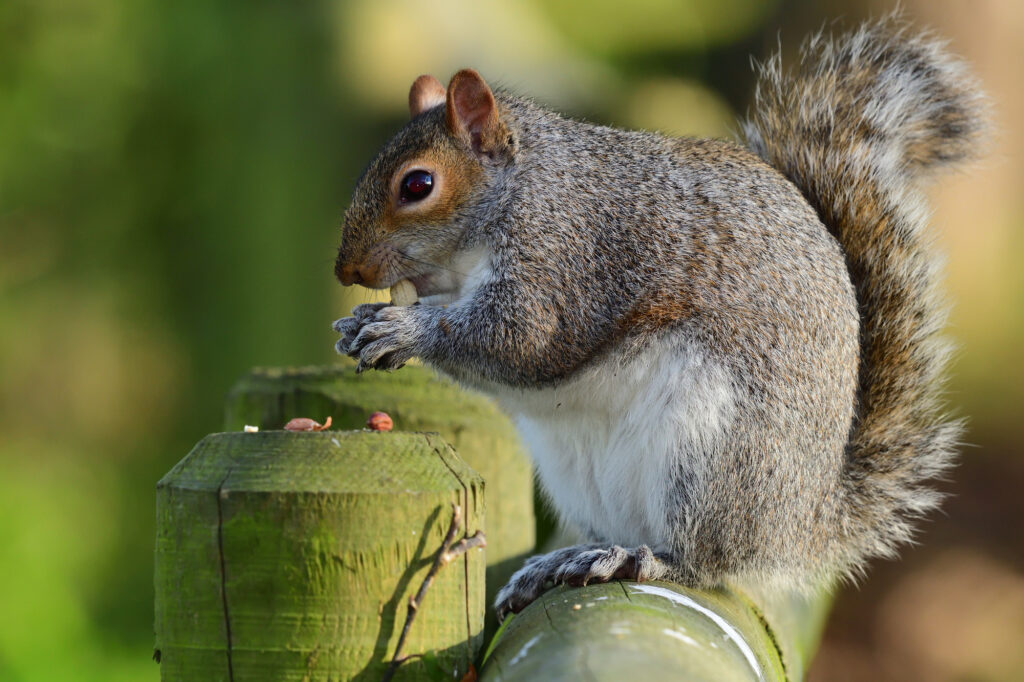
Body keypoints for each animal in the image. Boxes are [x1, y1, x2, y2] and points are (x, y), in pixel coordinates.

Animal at [331, 18, 987, 618]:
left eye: (418, 184)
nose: (345, 270)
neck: (521, 191)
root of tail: (802, 523)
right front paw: (361, 321)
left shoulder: (566, 259)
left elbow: (522, 343)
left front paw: (404, 331)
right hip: (579, 472)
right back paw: (564, 561)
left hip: (710, 456)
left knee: (708, 562)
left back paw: (641, 559)